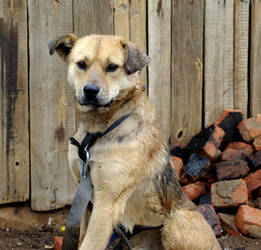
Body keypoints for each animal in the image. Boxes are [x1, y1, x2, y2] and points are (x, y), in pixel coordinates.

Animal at [48, 33, 219, 250]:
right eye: (81, 64)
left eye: (112, 67)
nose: (90, 91)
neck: (98, 132)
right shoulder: (85, 194)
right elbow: (80, 237)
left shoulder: (107, 203)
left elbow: (89, 243)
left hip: (176, 220)